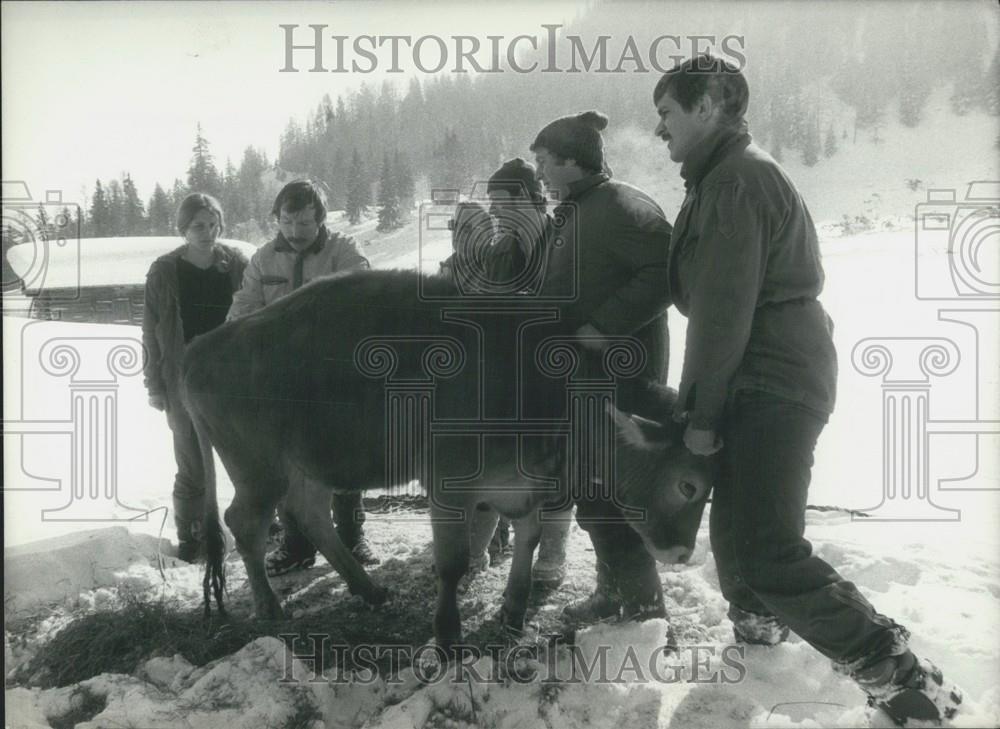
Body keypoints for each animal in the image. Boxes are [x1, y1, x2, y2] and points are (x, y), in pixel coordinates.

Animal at [181, 269, 713, 652]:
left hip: (306, 464)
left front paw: (513, 612)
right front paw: (448, 631)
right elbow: (454, 562)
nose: (682, 553)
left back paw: (369, 589)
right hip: (256, 466)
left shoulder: (525, 485)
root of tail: (201, 346)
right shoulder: (448, 482)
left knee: (308, 514)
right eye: (687, 484)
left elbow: (530, 539)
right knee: (244, 522)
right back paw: (270, 606)